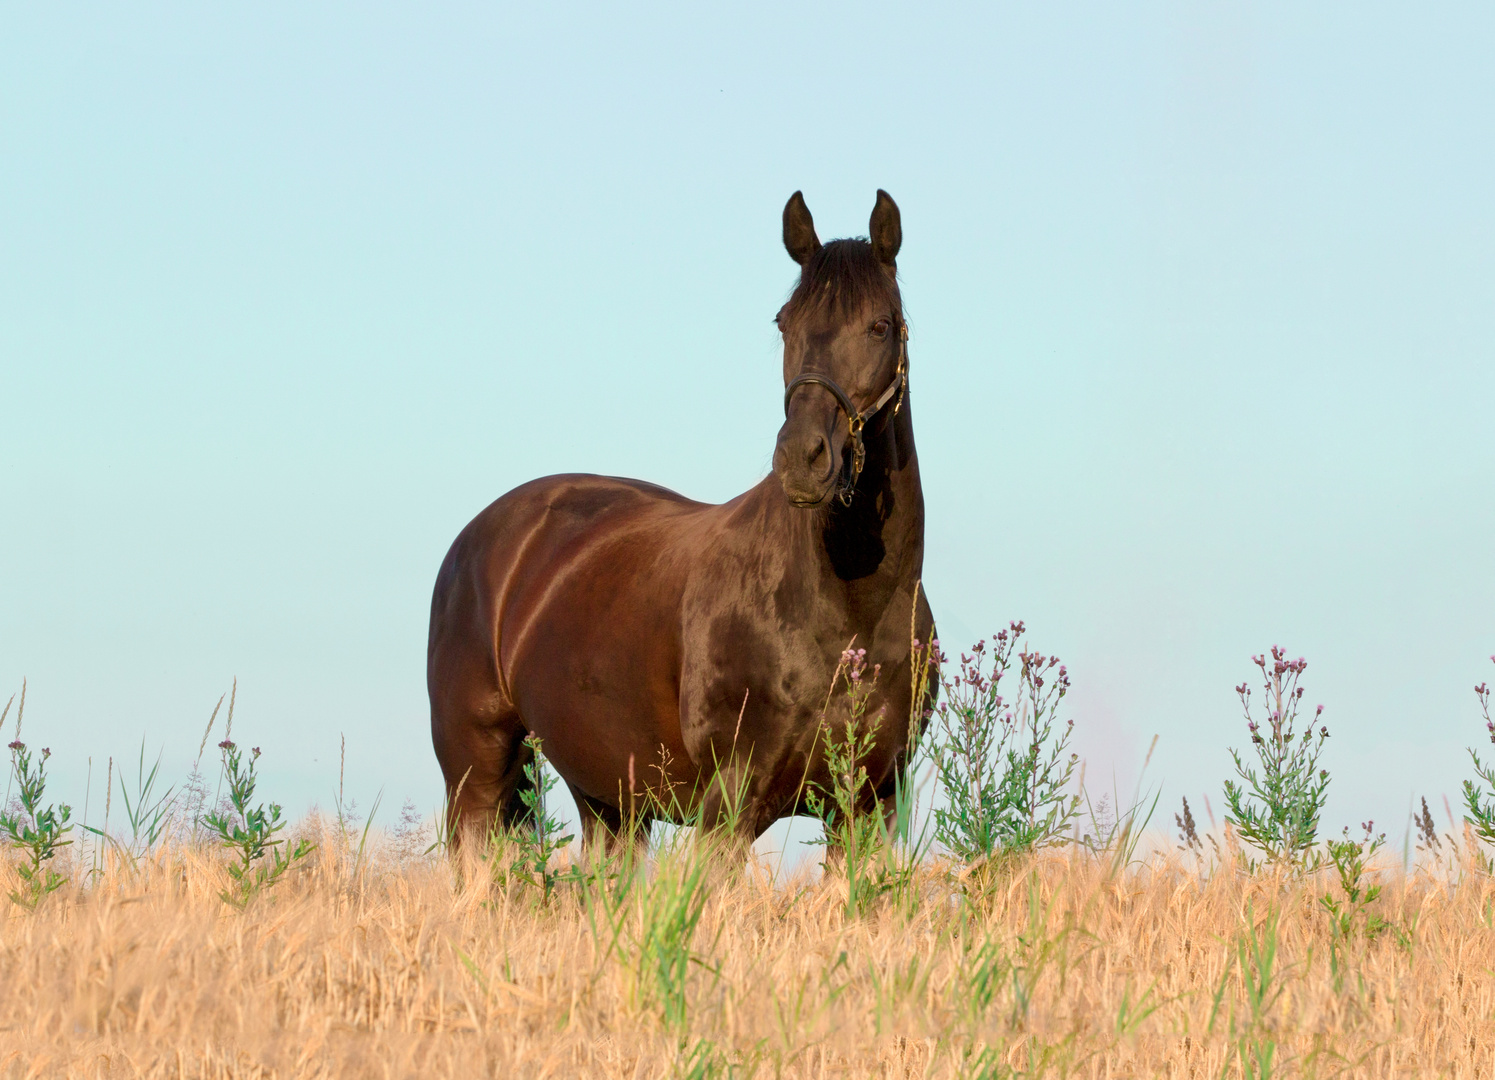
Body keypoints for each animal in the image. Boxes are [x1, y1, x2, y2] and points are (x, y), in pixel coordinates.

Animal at [421, 189, 932, 843]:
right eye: (784, 323)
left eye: (880, 326)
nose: (802, 458)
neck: (850, 611)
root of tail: (480, 535)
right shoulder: (729, 803)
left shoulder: (870, 808)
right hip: (475, 783)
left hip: (609, 802)